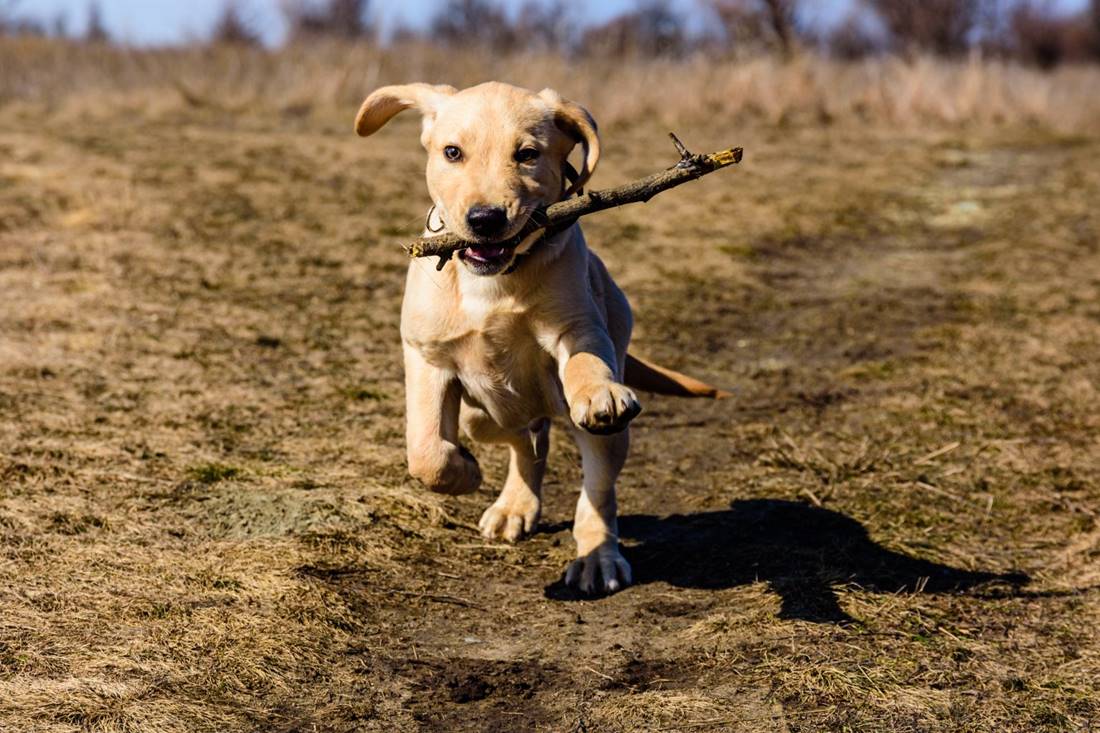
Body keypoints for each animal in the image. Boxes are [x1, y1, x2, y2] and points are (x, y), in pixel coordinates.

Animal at [356, 81, 726, 594]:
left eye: (527, 155)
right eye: (452, 152)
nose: (485, 219)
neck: (494, 281)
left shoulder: (579, 326)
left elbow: (586, 360)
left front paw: (598, 392)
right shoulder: (427, 357)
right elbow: (427, 451)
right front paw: (464, 472)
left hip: (602, 427)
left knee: (597, 488)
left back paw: (597, 556)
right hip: (480, 415)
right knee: (528, 441)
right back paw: (514, 505)